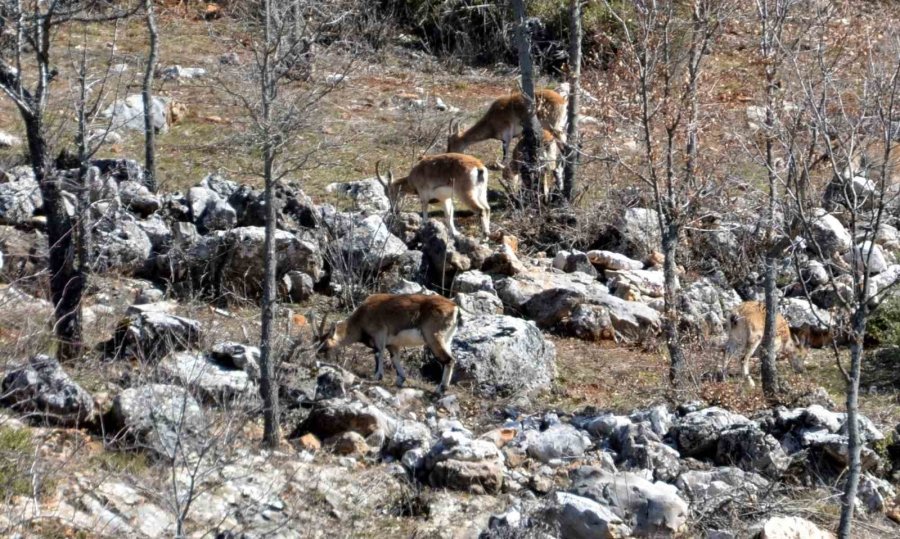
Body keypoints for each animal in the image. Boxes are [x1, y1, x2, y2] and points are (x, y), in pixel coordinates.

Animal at [316, 294, 460, 394]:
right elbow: (394, 358)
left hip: (433, 338)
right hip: (447, 340)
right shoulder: (393, 344)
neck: (361, 318)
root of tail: (453, 307)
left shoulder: (379, 335)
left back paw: (440, 389)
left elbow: (378, 354)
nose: (317, 355)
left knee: (449, 360)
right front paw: (400, 379)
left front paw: (377, 376)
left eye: (325, 343)